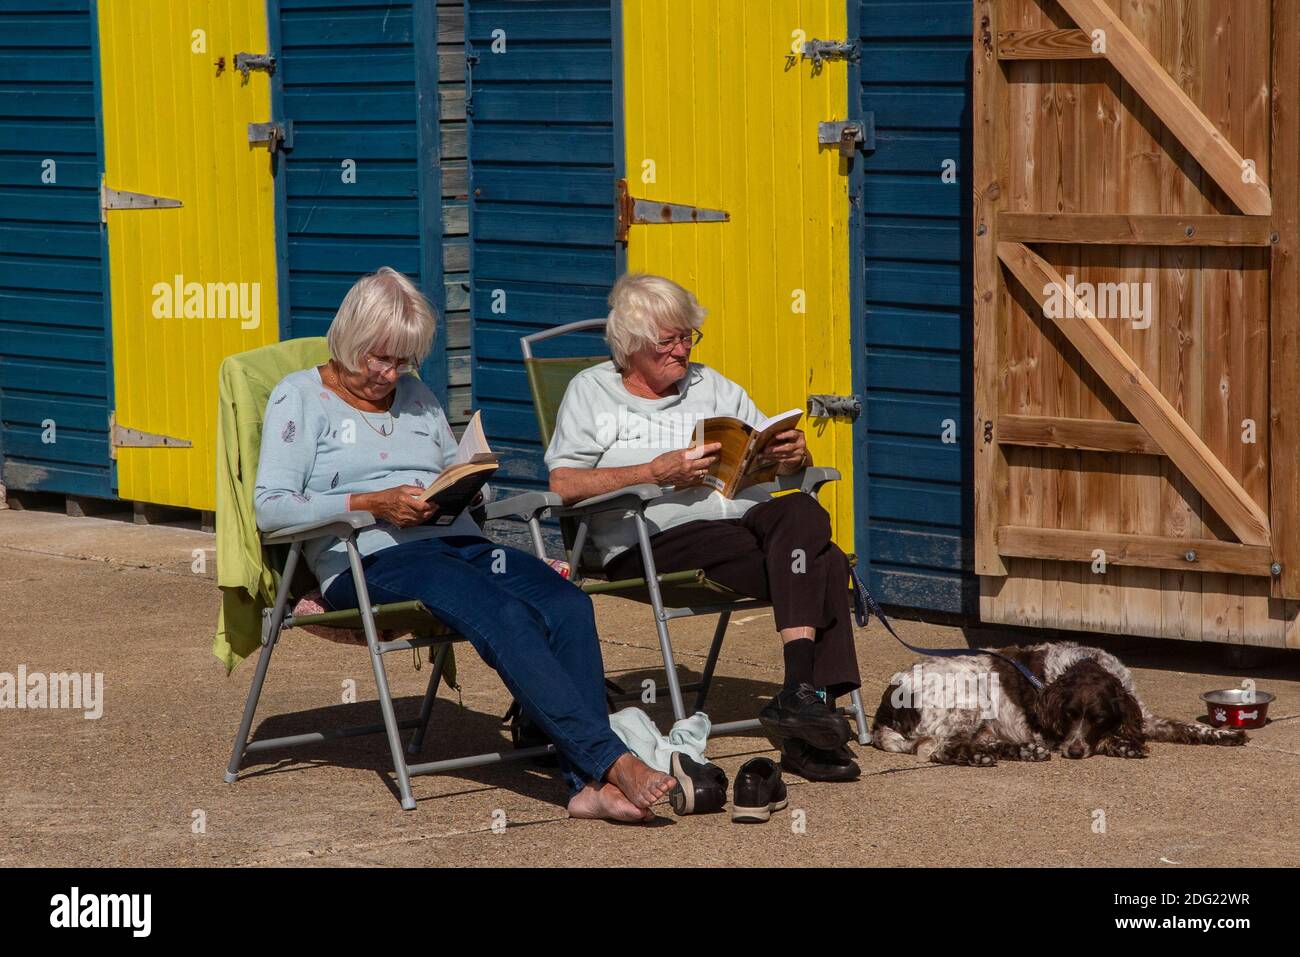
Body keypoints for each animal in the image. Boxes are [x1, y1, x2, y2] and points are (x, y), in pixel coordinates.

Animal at [873, 639, 1248, 764]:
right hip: (968, 699)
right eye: (1069, 715)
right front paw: (1121, 746)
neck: (1083, 665)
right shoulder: (1049, 732)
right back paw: (985, 756)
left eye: (1098, 717)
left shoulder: (1143, 715)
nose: (1075, 753)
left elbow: (1186, 726)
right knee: (936, 748)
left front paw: (1226, 734)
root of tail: (886, 706)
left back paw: (1017, 752)